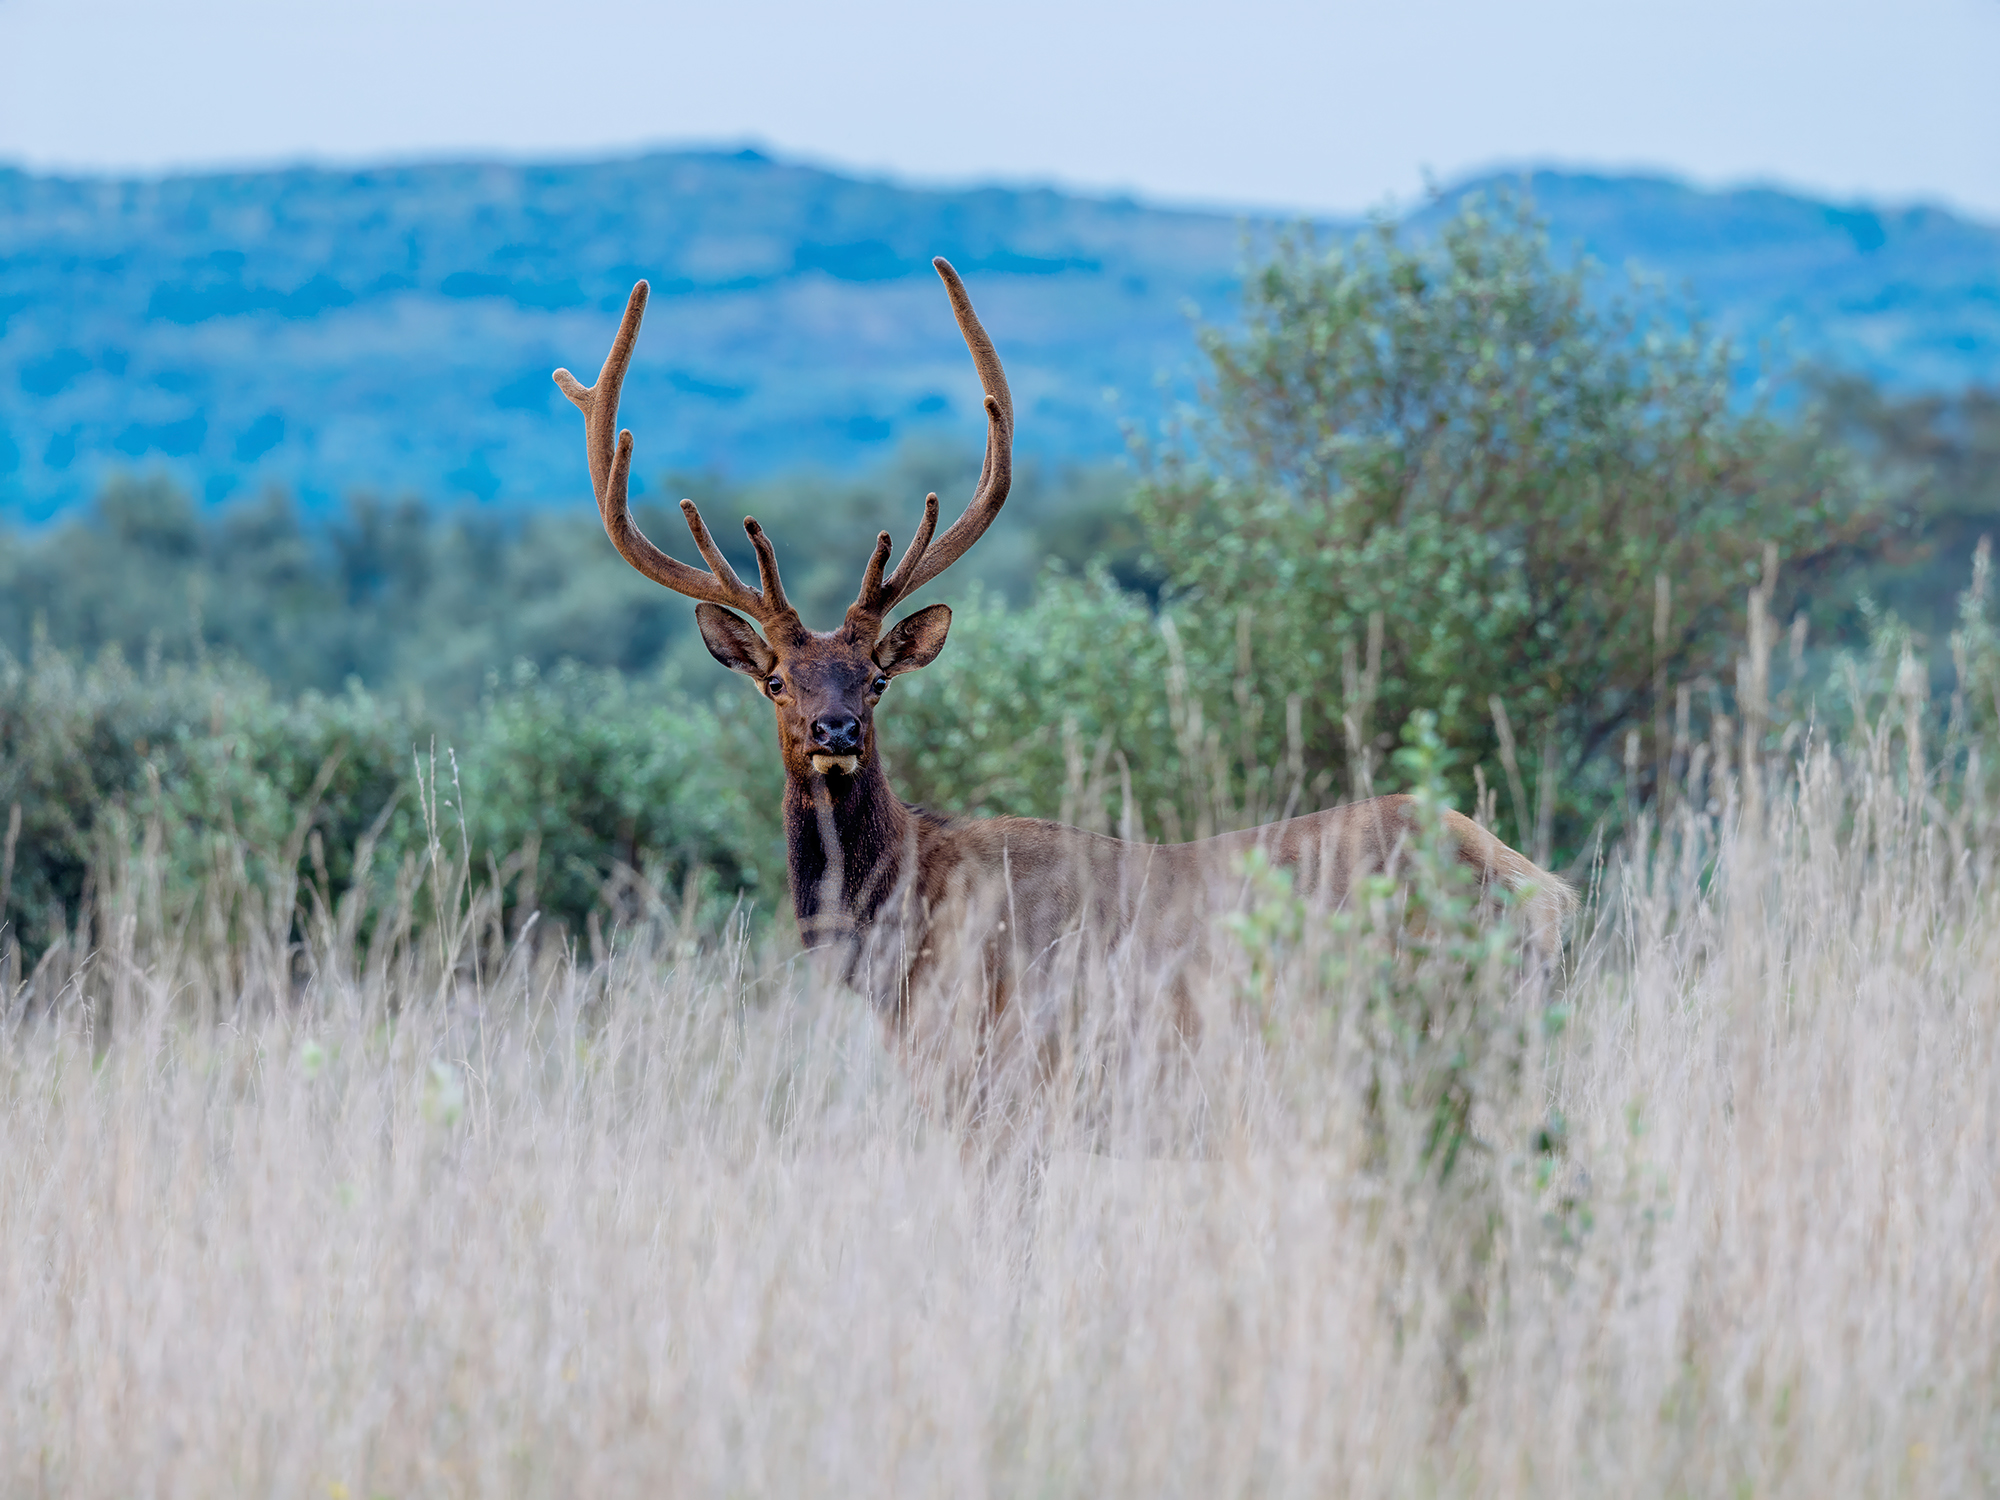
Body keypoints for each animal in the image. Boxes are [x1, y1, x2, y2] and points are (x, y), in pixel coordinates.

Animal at [556, 258, 1568, 1144]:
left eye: (876, 679)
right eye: (776, 681)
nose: (834, 727)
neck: (900, 935)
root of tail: (1547, 891)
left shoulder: (1003, 1083)